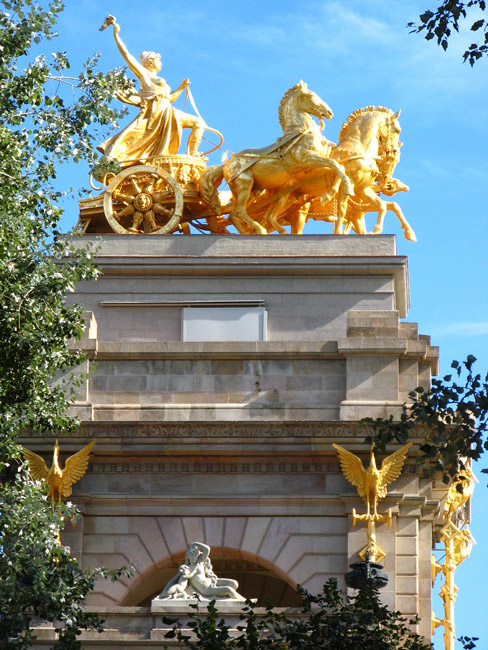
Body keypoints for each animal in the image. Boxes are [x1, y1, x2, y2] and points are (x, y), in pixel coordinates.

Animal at [199, 80, 354, 233]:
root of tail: (226, 165)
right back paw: (260, 229)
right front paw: (335, 193)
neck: (300, 131)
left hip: (257, 192)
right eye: (311, 95)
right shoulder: (305, 157)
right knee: (240, 212)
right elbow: (336, 164)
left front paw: (336, 192)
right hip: (244, 187)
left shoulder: (312, 167)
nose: (329, 112)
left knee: (235, 215)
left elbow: (338, 167)